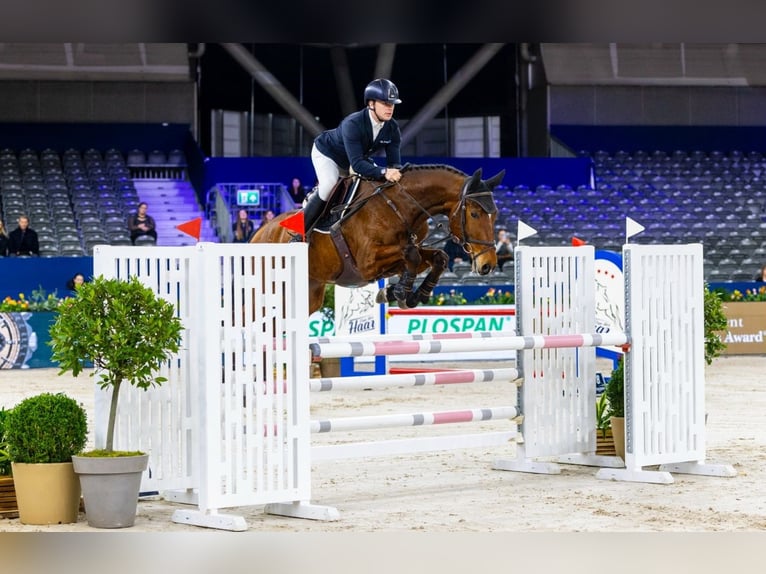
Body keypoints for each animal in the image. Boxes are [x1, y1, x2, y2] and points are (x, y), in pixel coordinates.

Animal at [250, 164, 504, 316]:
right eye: (475, 214)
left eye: (496, 216)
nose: (488, 265)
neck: (399, 206)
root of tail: (258, 234)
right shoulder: (366, 262)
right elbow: (411, 255)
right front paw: (400, 292)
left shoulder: (400, 255)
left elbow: (436, 257)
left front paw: (409, 294)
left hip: (310, 292)